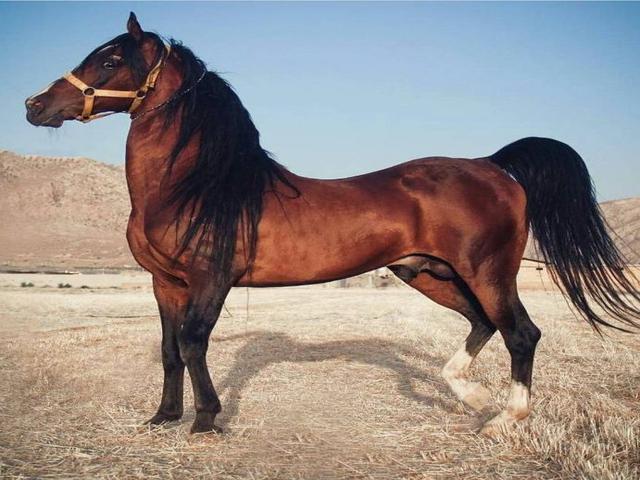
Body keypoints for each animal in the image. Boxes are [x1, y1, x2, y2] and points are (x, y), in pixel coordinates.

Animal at [25, 13, 640, 436]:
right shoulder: (164, 283)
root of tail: (492, 165)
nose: (34, 106)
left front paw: (206, 420)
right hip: (430, 274)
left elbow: (196, 342)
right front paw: (163, 417)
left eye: (110, 61)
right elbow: (171, 348)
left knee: (521, 333)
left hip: (487, 272)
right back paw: (474, 400)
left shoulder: (210, 279)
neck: (195, 184)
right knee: (484, 325)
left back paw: (502, 420)